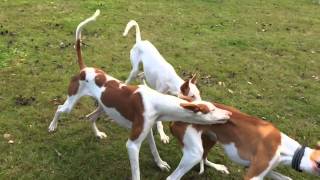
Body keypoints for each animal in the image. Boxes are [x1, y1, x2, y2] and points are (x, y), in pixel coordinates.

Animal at [47, 10, 231, 180]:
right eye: (210, 110)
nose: (229, 114)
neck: (156, 101)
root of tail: (85, 69)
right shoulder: (132, 145)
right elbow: (136, 171)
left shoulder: (147, 131)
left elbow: (155, 150)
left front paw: (160, 164)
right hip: (72, 102)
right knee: (59, 108)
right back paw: (53, 126)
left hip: (103, 107)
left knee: (89, 117)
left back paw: (98, 134)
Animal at [168, 102, 320, 180]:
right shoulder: (253, 175)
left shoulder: (259, 168)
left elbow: (287, 178)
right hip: (194, 153)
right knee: (173, 177)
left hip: (211, 139)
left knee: (204, 159)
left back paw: (218, 167)